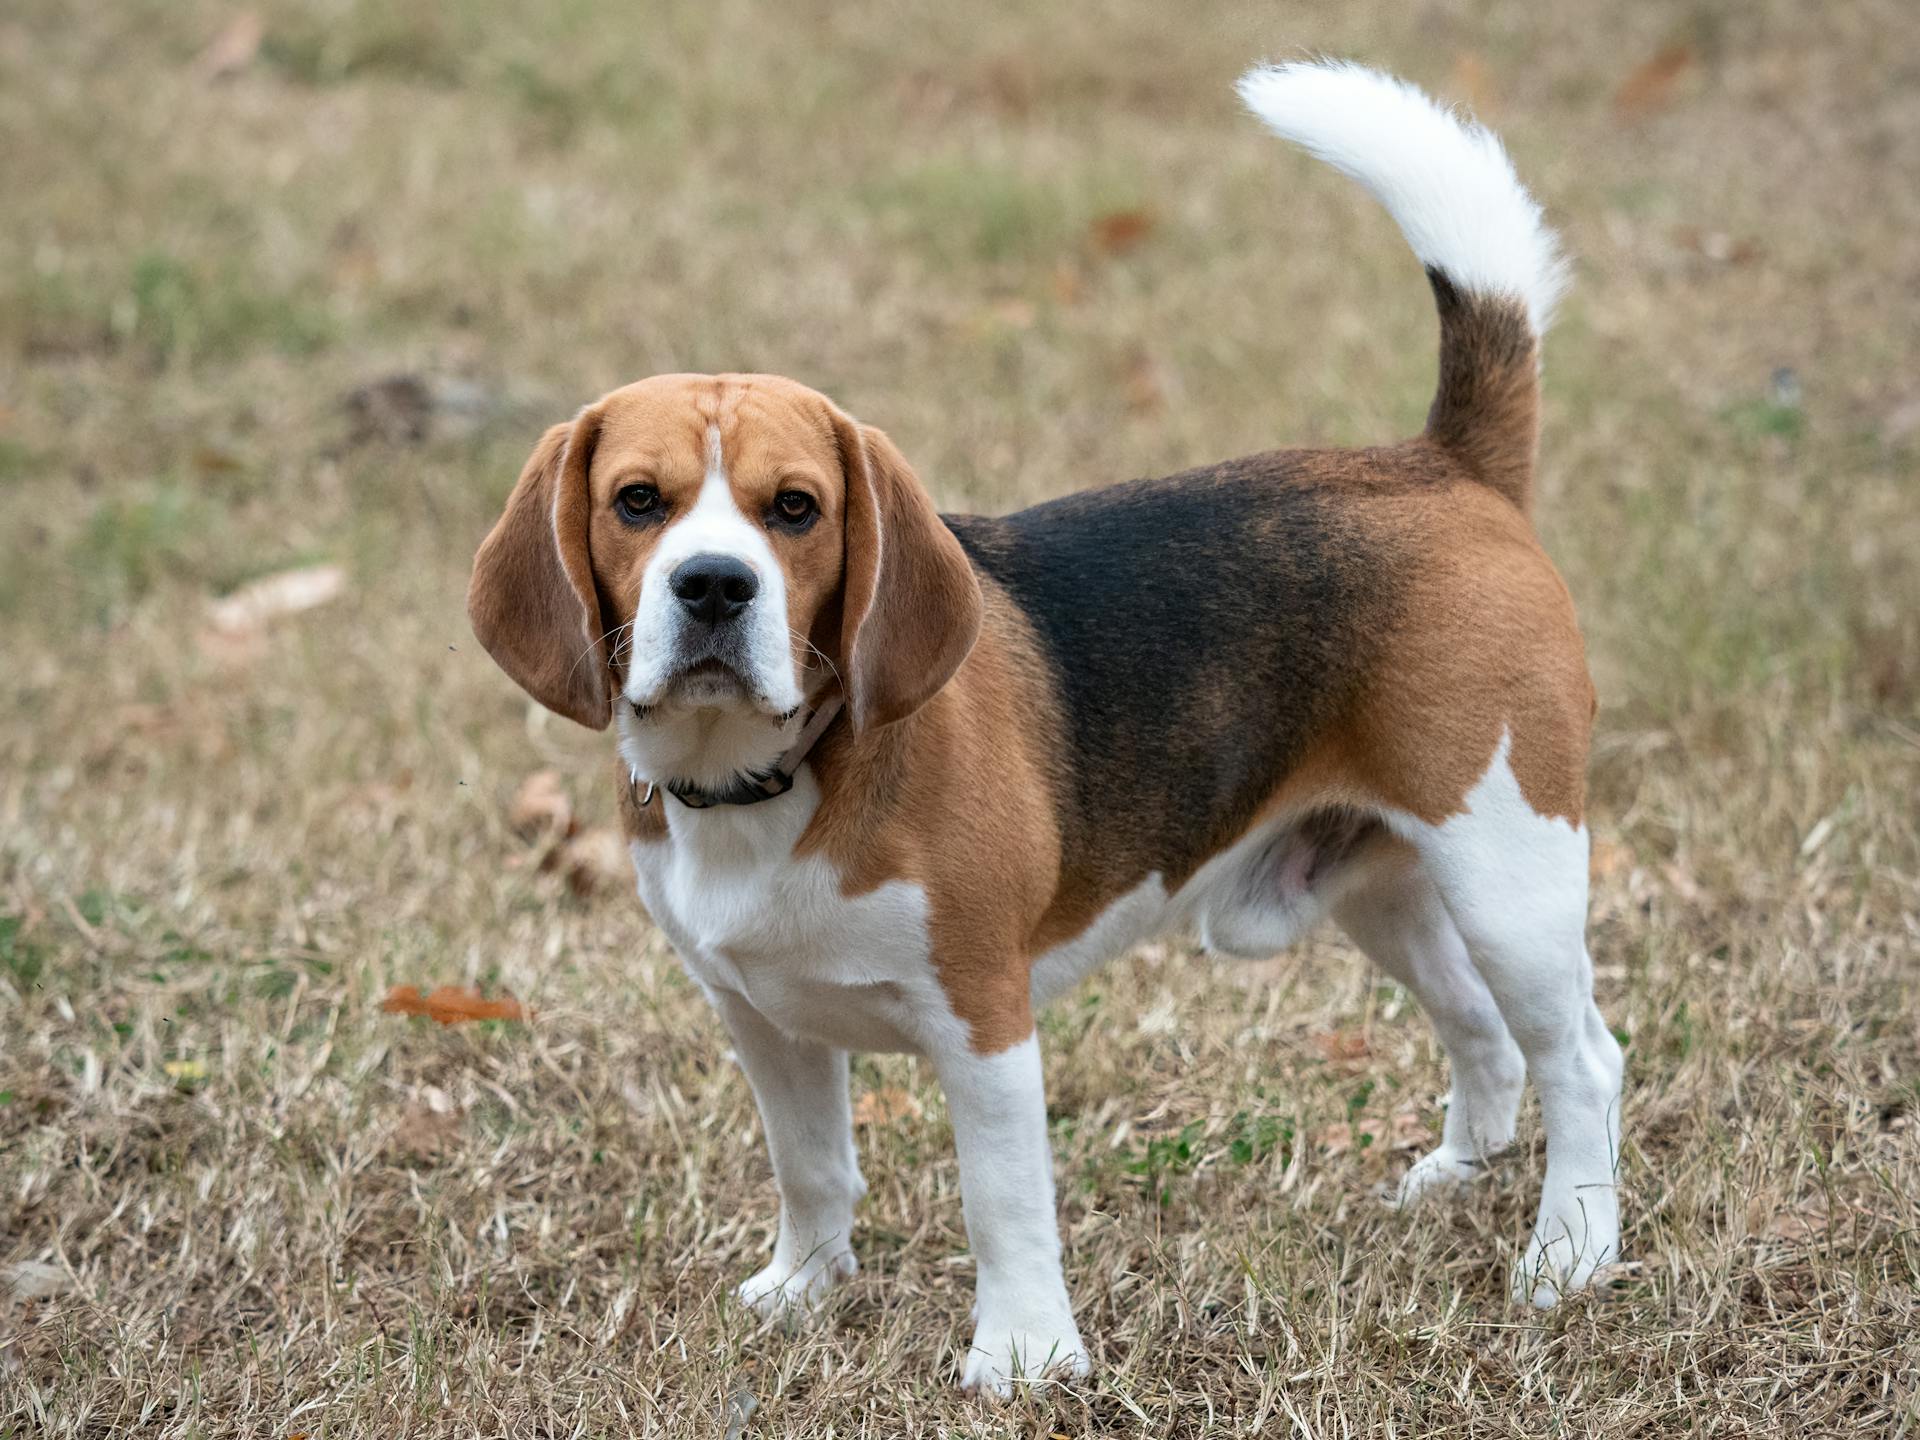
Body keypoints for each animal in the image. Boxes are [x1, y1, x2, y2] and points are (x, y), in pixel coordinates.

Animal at [464, 61, 1620, 1390]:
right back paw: (1458, 1176)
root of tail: (1446, 465)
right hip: (1380, 880)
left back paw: (1571, 1254)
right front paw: (805, 1289)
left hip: (1510, 865)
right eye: (637, 502)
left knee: (1582, 1058)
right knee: (1484, 1029)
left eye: (796, 509)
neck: (780, 780)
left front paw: (1022, 1353)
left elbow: (1001, 1202)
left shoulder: (984, 1016)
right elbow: (812, 1167)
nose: (713, 586)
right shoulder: (761, 1020)